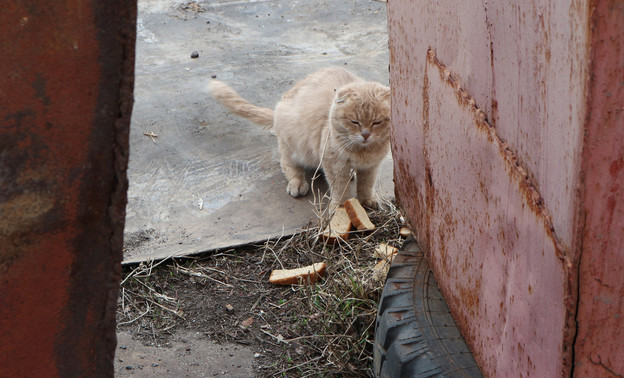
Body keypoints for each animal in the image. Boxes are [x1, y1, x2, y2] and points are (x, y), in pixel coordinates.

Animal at [210, 67, 390, 211]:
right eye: (354, 122)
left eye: (377, 122)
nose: (365, 134)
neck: (363, 152)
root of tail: (277, 109)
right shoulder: (333, 164)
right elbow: (340, 189)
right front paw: (341, 207)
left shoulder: (372, 166)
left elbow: (367, 184)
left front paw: (367, 201)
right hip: (294, 147)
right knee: (287, 163)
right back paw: (297, 183)